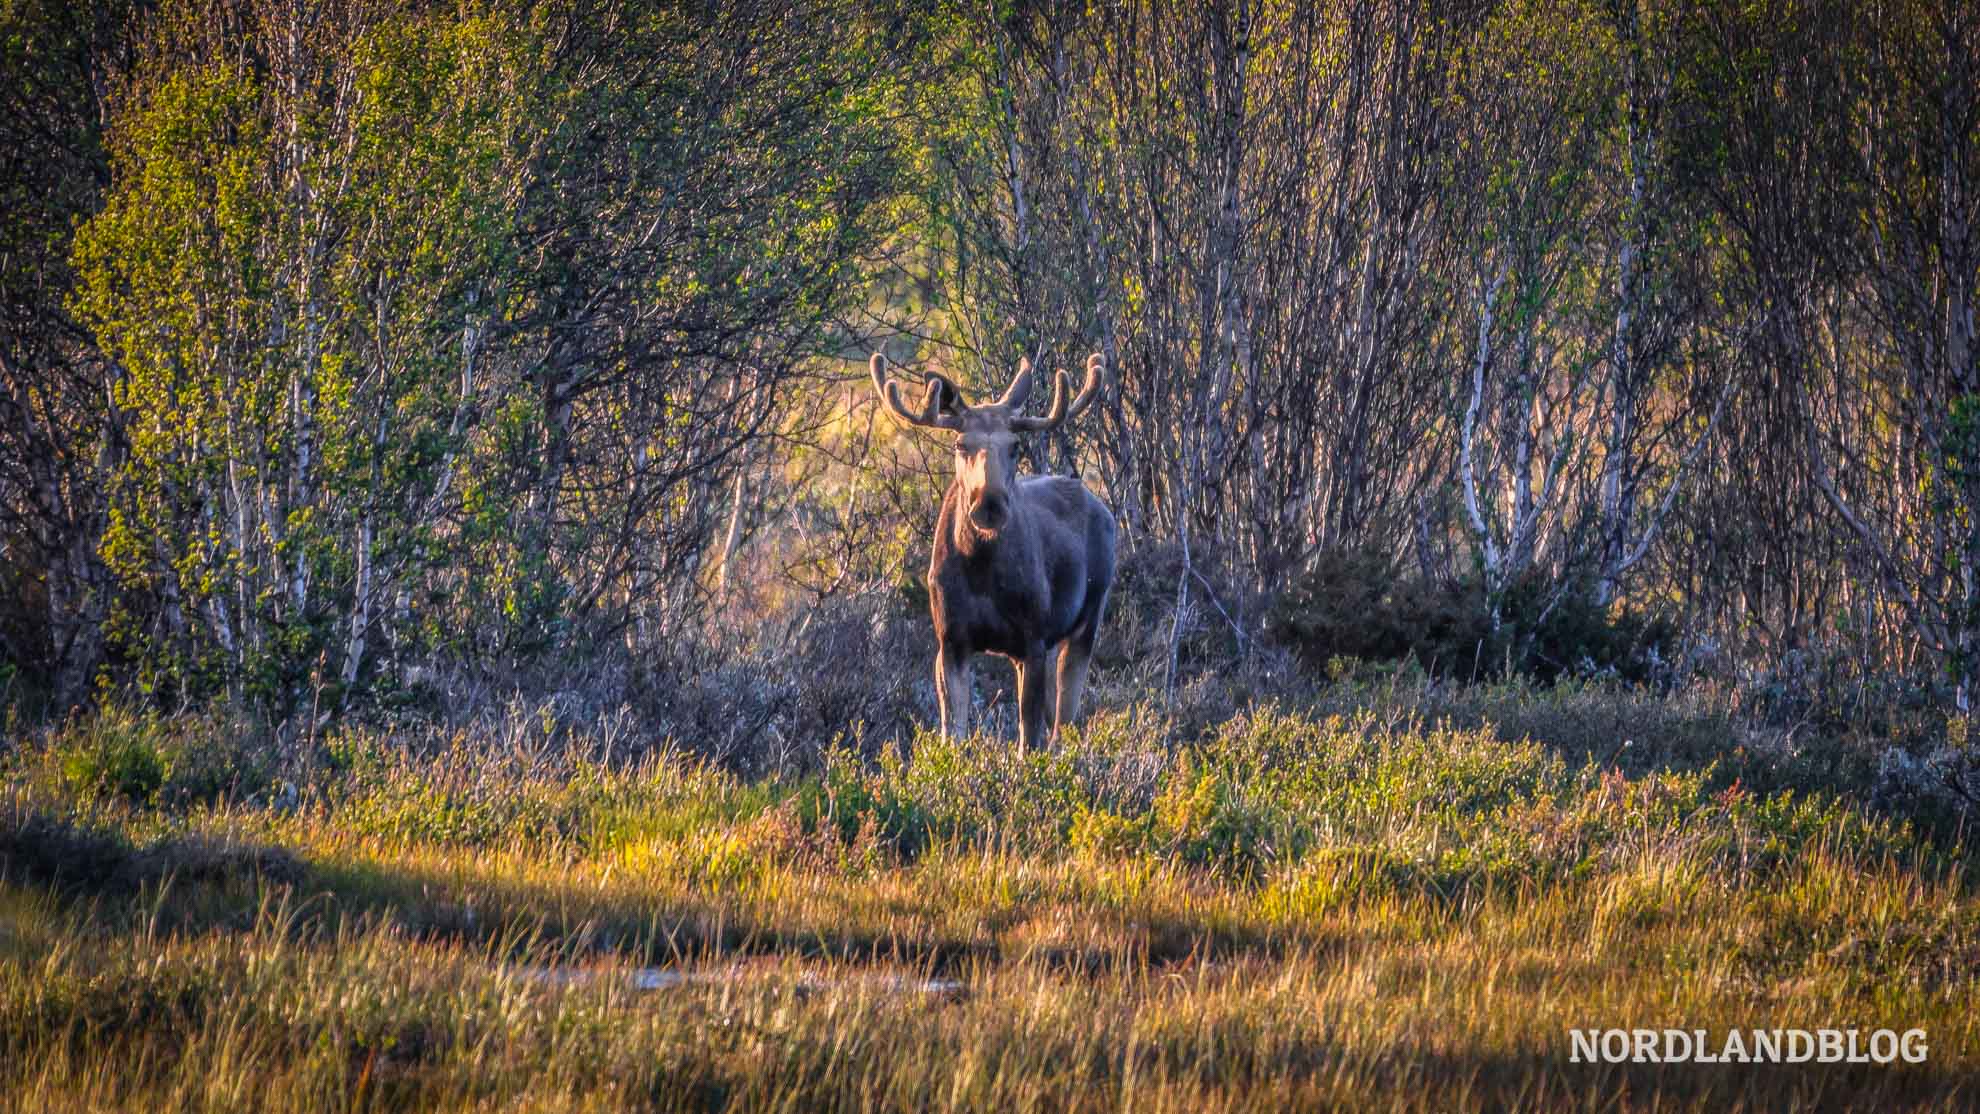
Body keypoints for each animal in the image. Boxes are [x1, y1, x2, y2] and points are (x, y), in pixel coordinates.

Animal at [867, 348, 1116, 755]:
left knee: (1064, 722)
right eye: (959, 444)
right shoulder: (951, 639)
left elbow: (1029, 739)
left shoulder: (1033, 637)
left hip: (1088, 616)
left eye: (1015, 446)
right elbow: (953, 733)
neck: (980, 570)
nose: (989, 504)